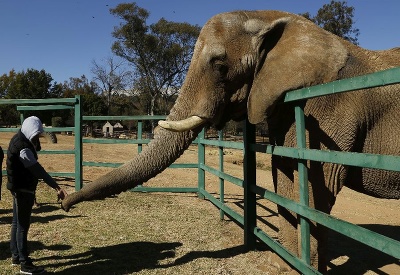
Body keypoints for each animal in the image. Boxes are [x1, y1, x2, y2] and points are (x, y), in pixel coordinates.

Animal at [60, 9, 400, 272]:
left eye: (220, 66)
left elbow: (316, 185)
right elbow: (285, 175)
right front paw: (281, 265)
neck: (275, 19)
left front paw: (303, 268)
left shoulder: (327, 107)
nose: (63, 202)